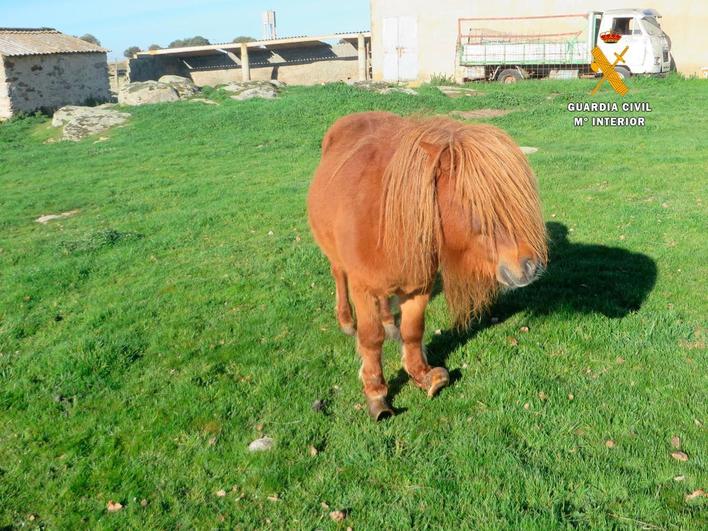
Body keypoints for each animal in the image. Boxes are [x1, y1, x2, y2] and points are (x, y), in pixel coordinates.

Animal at [306, 111, 548, 420]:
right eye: (477, 202)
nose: (530, 266)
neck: (389, 223)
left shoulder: (418, 287)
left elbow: (413, 331)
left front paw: (423, 375)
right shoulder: (363, 289)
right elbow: (371, 339)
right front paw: (376, 395)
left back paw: (389, 322)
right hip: (335, 259)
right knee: (339, 276)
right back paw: (347, 321)